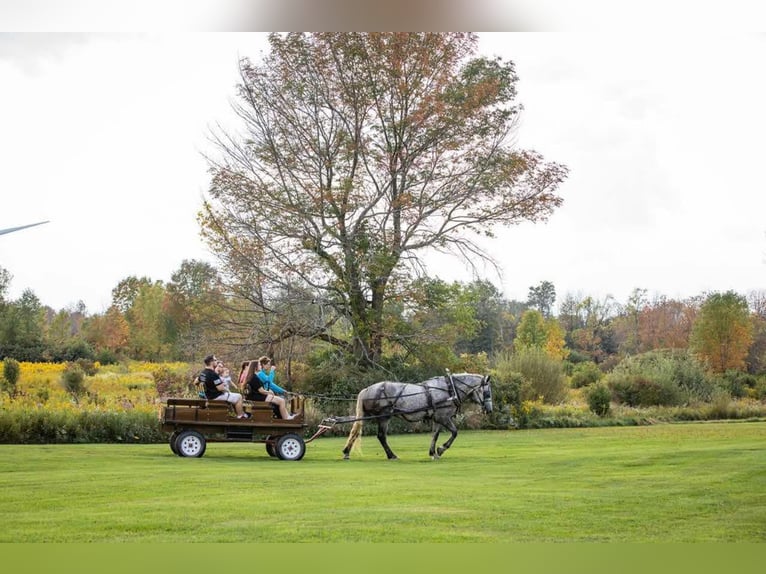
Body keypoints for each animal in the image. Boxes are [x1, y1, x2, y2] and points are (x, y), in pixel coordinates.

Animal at [342, 374, 492, 464]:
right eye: (487, 392)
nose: (489, 410)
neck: (449, 389)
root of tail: (367, 389)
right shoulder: (443, 417)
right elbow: (455, 432)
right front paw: (441, 449)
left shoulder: (437, 418)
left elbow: (435, 435)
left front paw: (433, 453)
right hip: (384, 417)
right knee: (381, 436)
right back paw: (392, 455)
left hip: (368, 415)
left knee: (355, 432)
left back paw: (346, 452)